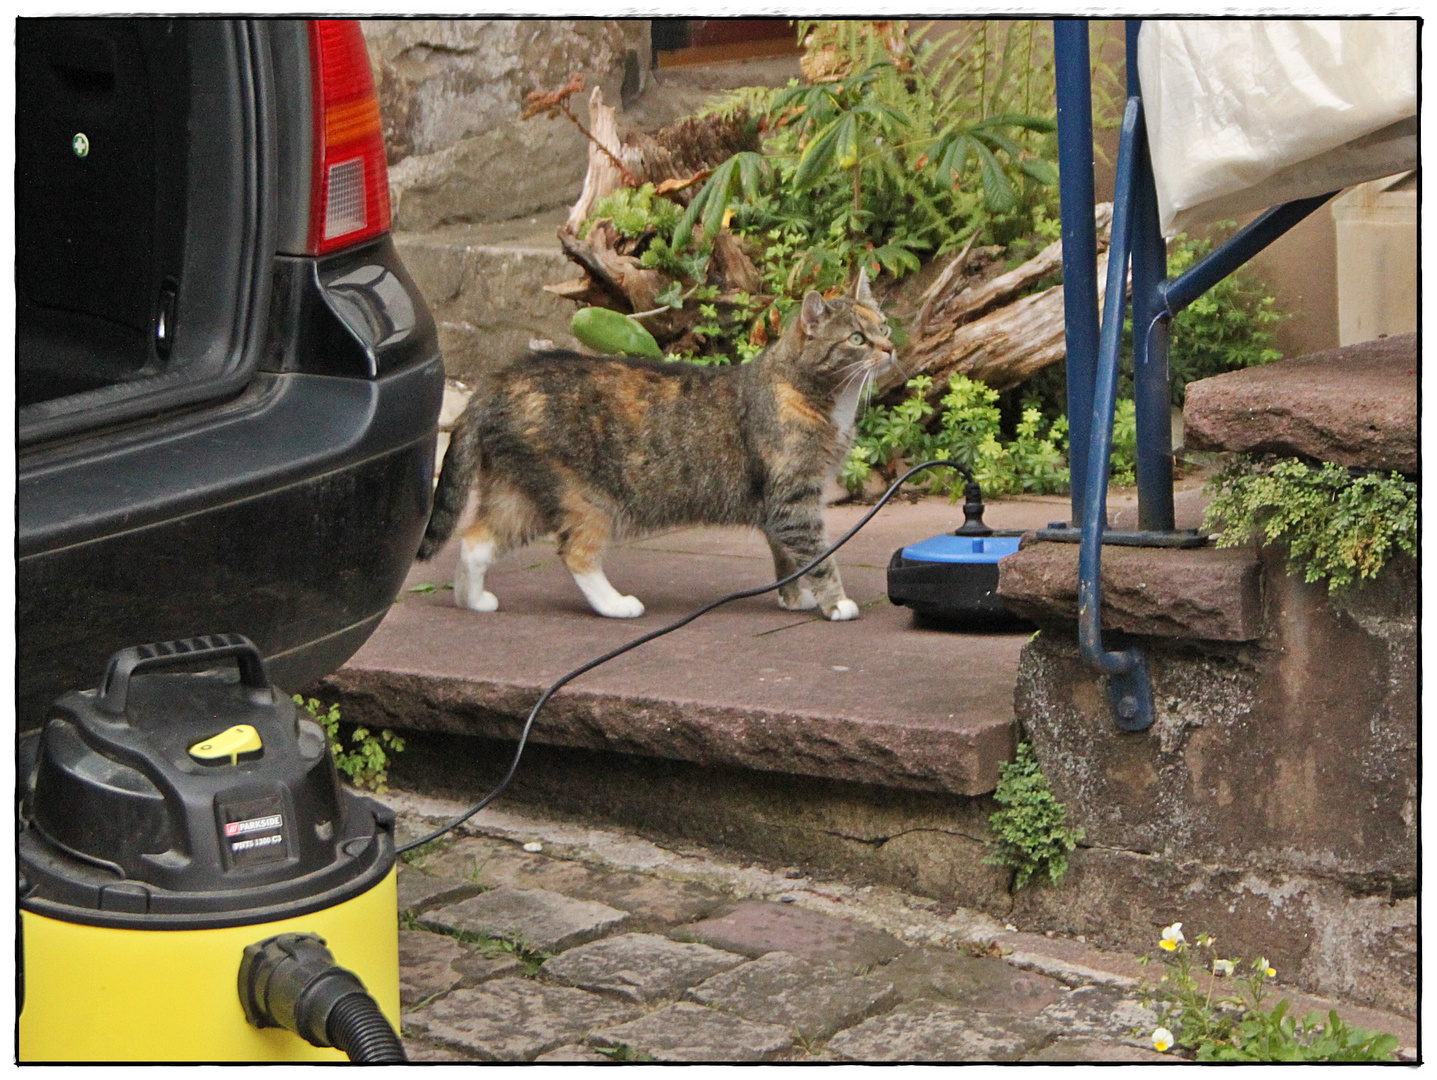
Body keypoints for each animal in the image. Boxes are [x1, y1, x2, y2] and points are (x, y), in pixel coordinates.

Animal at [410, 270, 890, 620]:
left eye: (883, 326)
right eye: (857, 339)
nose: (889, 348)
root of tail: (499, 379)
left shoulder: (783, 504)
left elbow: (788, 560)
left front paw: (793, 599)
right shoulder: (793, 500)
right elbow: (817, 555)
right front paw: (836, 603)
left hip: (518, 493)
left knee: (475, 540)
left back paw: (472, 601)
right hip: (584, 497)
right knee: (575, 552)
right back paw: (616, 605)